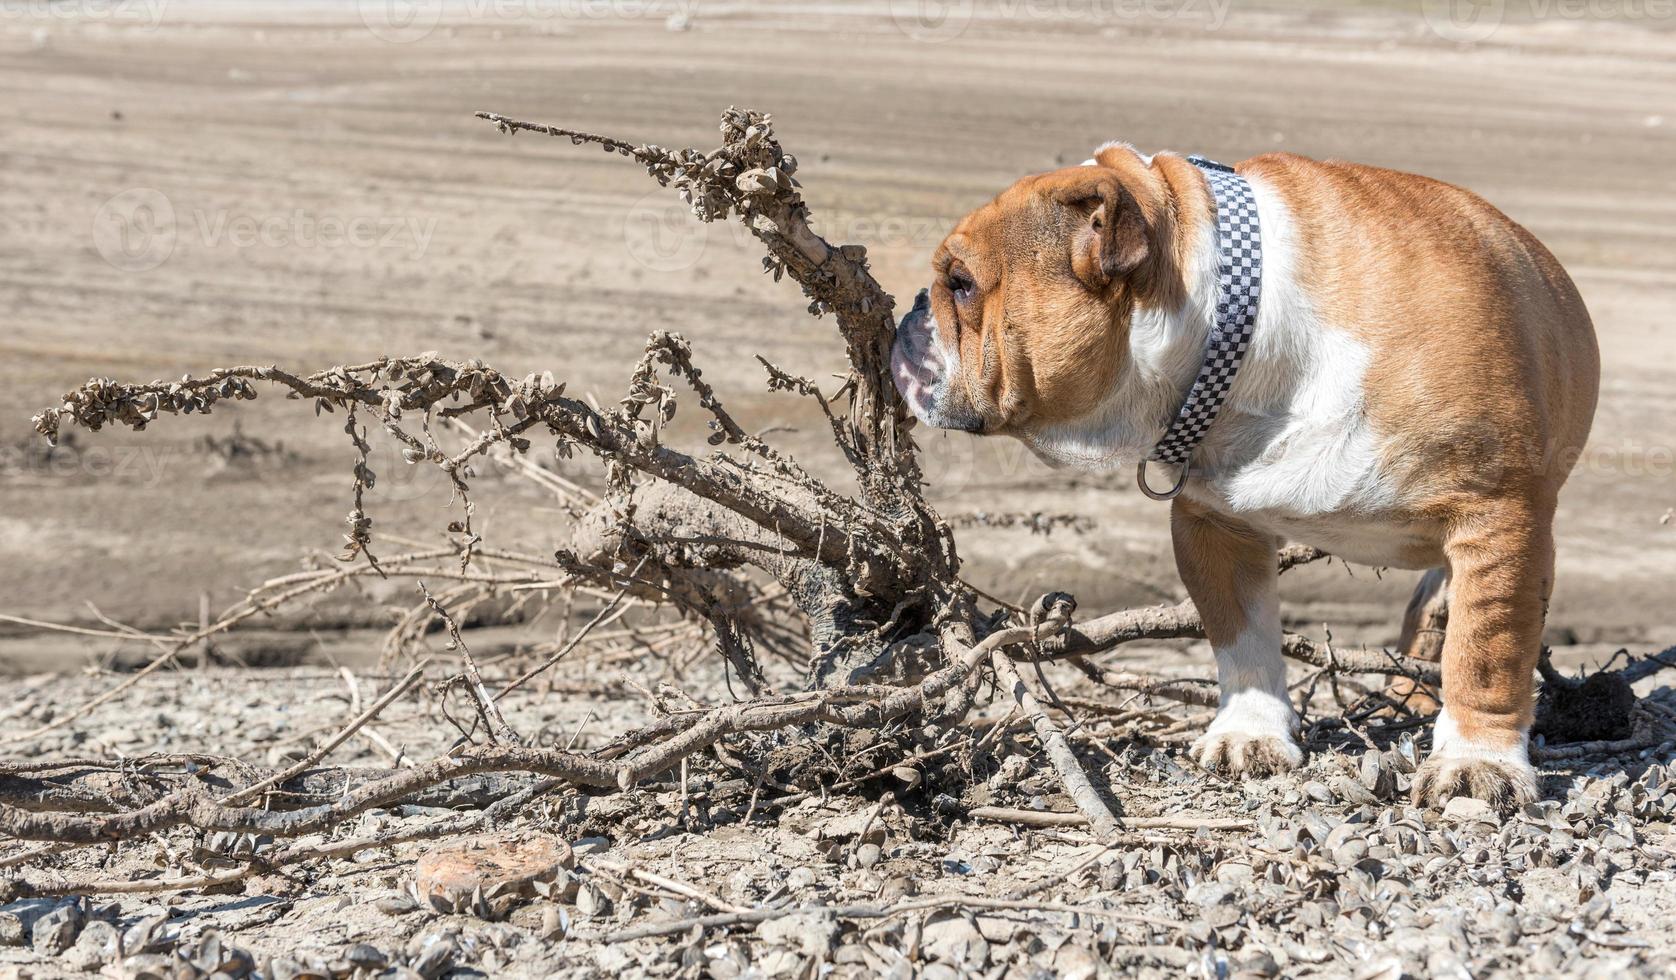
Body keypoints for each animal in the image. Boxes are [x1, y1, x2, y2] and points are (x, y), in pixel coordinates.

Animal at [898, 141, 1602, 807]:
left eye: (960, 282)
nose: (909, 314)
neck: (1238, 324)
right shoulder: (1214, 525)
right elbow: (1242, 637)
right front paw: (1250, 732)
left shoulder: (1498, 520)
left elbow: (1486, 650)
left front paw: (1479, 763)